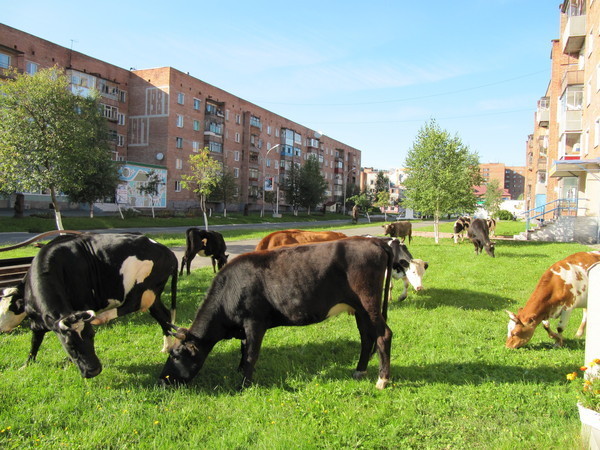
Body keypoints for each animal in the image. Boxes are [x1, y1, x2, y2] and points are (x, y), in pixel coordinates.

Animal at [11, 234, 178, 378]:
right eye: (70, 344)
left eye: (92, 336)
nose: (94, 370)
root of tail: (167, 250)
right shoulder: (36, 322)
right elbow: (35, 342)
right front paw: (26, 364)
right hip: (154, 294)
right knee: (163, 315)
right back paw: (166, 347)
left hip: (142, 286)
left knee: (133, 303)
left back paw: (102, 317)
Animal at [159, 237, 412, 388]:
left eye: (176, 355)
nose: (162, 379)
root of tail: (374, 242)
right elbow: (243, 350)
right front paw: (240, 373)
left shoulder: (254, 322)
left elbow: (251, 353)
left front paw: (244, 384)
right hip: (359, 308)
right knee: (367, 337)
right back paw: (360, 371)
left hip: (369, 303)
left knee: (383, 335)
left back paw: (382, 379)